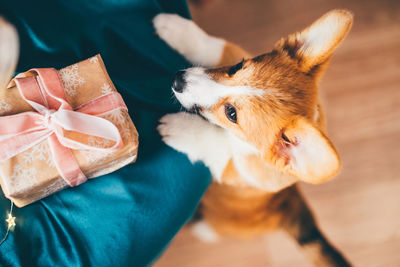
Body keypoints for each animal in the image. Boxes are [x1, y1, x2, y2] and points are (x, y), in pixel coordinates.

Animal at [155, 9, 352, 266]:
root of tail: (292, 207)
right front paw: (173, 27)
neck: (243, 143)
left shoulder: (233, 168)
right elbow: (217, 47)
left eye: (231, 113)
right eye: (237, 67)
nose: (178, 79)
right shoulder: (232, 53)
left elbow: (215, 142)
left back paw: (202, 229)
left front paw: (180, 128)